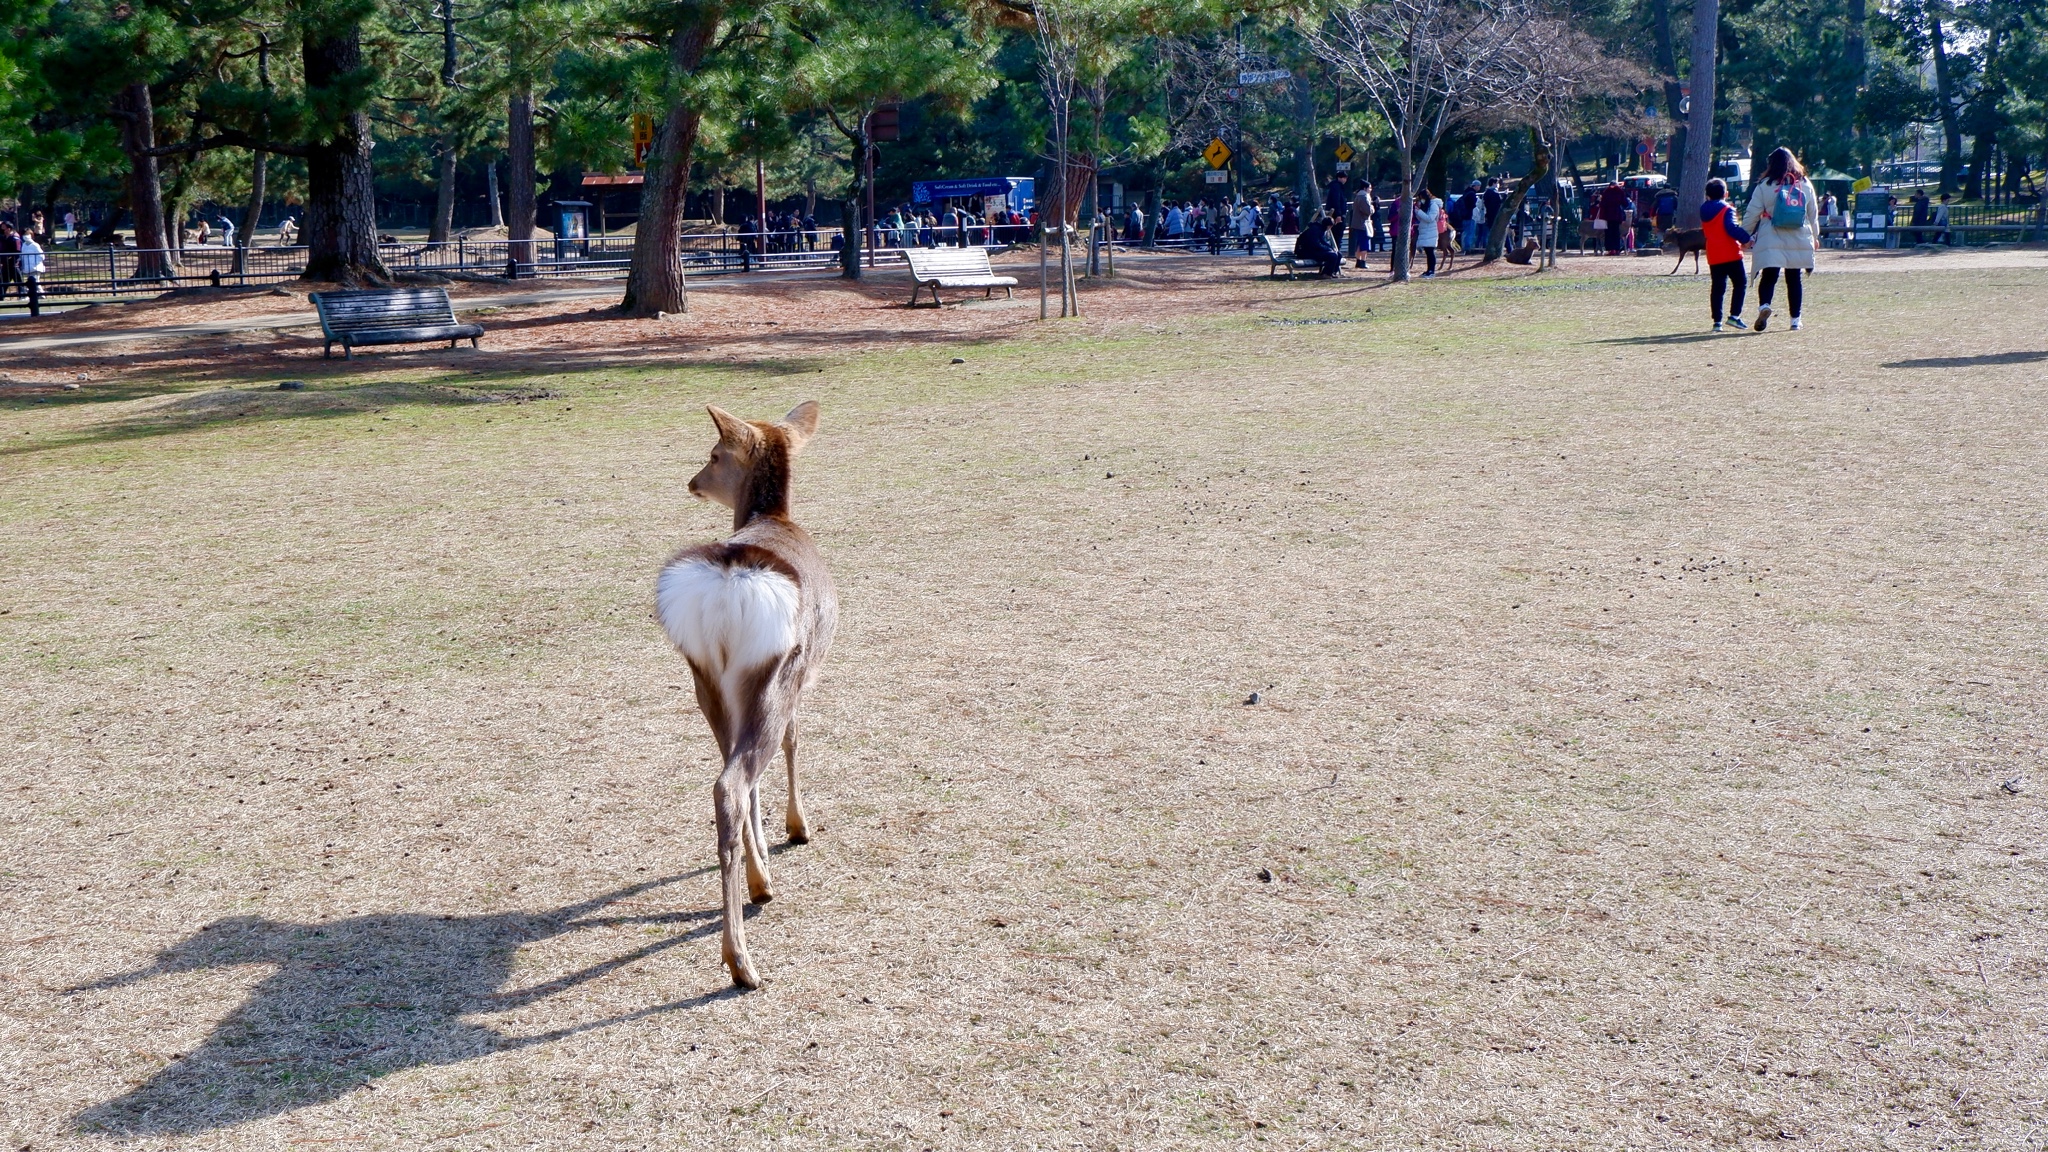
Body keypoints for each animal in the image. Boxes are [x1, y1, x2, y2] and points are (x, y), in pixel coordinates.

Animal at [663, 399, 839, 983]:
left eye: (714, 454)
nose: (693, 481)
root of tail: (726, 585)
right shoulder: (804, 676)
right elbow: (794, 741)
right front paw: (798, 828)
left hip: (706, 680)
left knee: (727, 777)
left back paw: (757, 885)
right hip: (772, 676)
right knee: (735, 781)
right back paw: (741, 958)